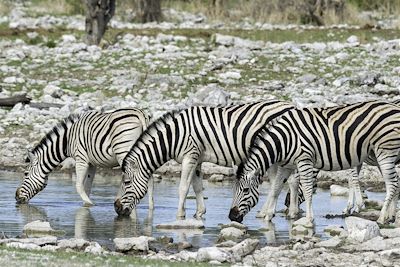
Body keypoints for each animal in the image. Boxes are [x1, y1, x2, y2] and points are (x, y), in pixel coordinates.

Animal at [14, 108, 152, 208]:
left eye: (26, 174)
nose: (16, 197)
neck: (67, 141)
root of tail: (139, 113)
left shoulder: (81, 159)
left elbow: (79, 185)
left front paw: (90, 204)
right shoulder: (92, 163)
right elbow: (87, 186)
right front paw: (86, 204)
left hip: (124, 151)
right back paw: (150, 207)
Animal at [112, 100, 294, 220]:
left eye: (126, 182)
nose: (116, 208)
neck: (174, 135)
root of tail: (290, 105)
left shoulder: (189, 156)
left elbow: (183, 188)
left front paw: (180, 215)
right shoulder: (197, 159)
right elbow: (197, 186)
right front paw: (199, 213)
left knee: (282, 182)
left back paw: (274, 213)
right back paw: (280, 213)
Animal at [230, 101, 400, 225]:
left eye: (245, 190)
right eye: (234, 190)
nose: (232, 217)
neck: (284, 141)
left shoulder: (304, 160)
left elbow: (306, 190)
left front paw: (309, 219)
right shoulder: (286, 165)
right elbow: (275, 189)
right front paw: (268, 216)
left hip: (385, 152)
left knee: (392, 184)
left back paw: (382, 218)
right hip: (381, 155)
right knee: (396, 182)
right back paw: (391, 217)